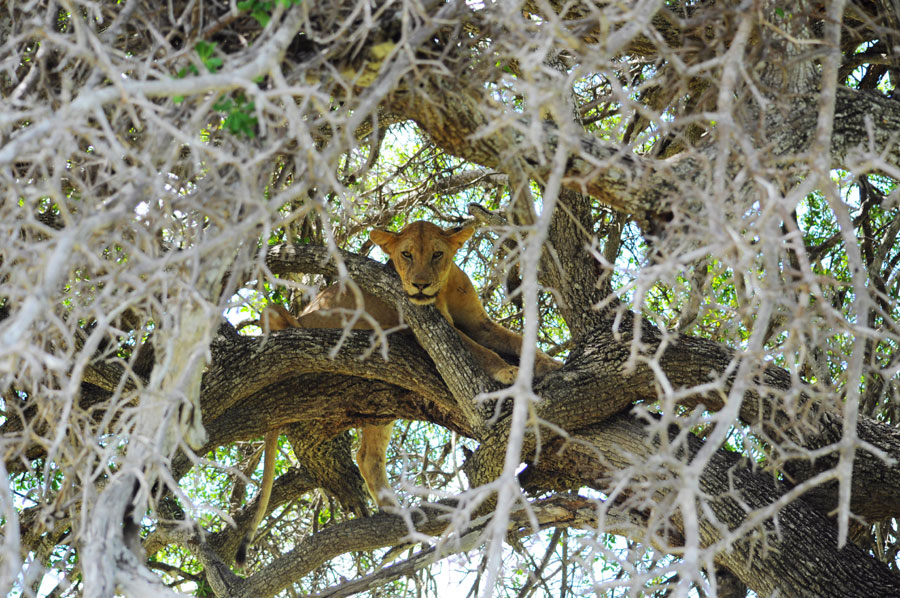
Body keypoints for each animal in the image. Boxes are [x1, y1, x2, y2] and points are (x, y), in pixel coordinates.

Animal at [235, 221, 561, 566]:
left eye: (437, 254)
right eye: (406, 254)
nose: (419, 285)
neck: (444, 286)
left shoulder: (479, 324)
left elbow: (518, 341)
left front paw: (552, 364)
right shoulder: (427, 334)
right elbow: (480, 351)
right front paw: (507, 372)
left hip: (378, 409)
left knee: (367, 457)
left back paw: (398, 518)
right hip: (278, 316)